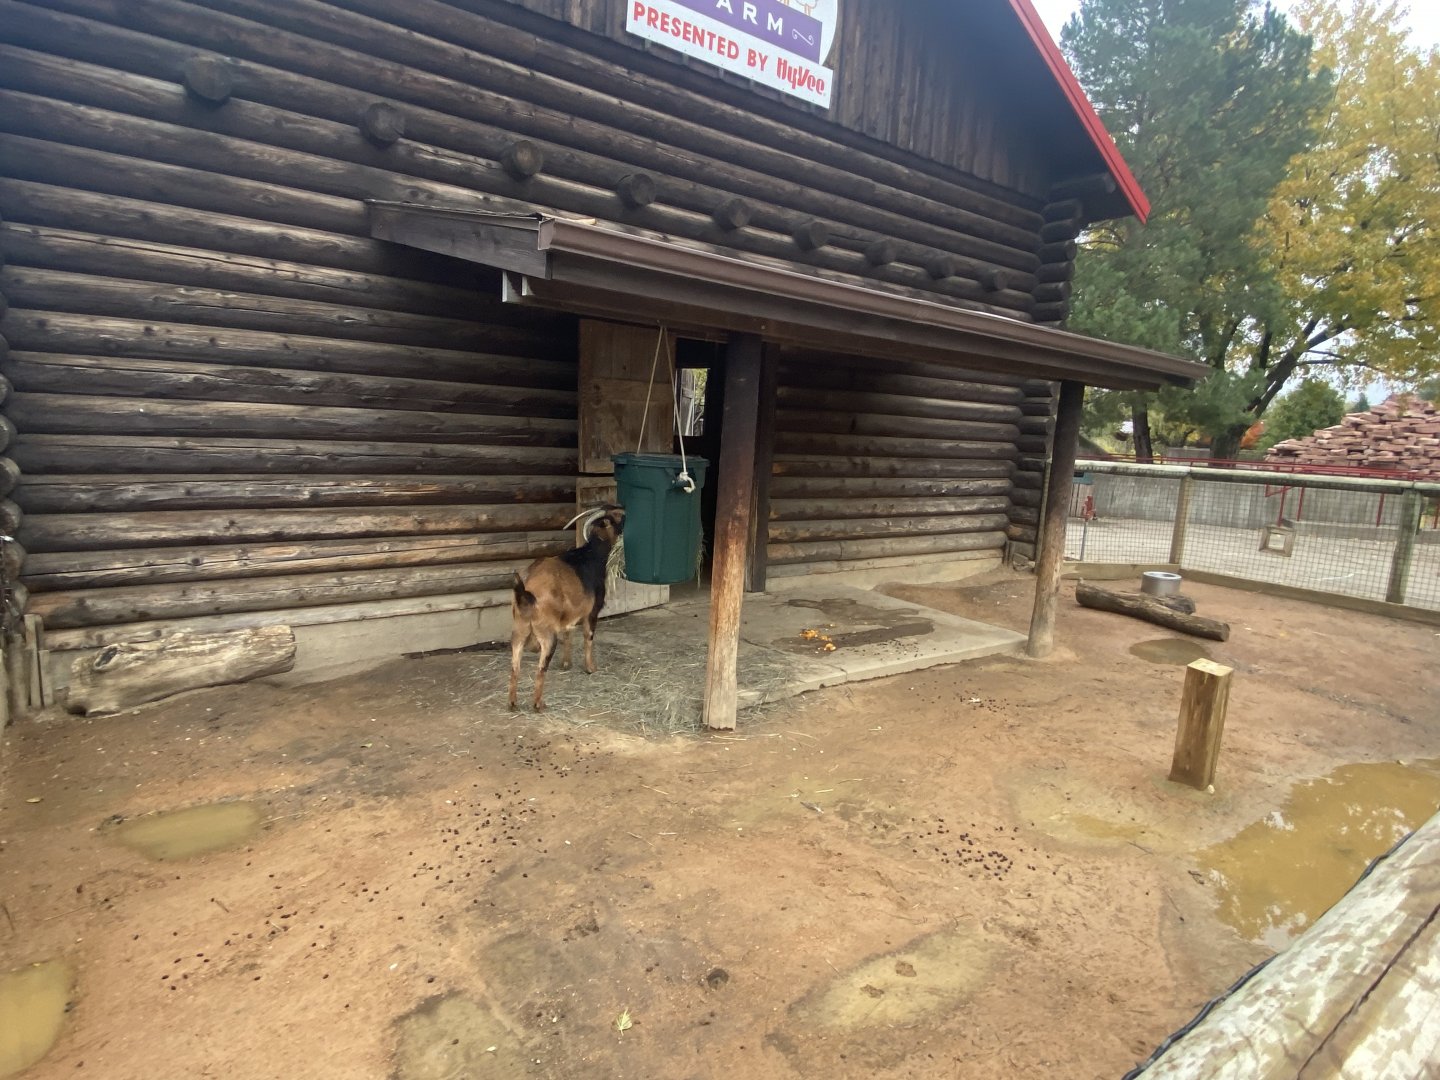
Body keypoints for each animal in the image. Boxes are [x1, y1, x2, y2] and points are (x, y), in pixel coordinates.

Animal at [508, 505, 625, 712]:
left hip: (519, 632)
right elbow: (588, 637)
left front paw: (566, 664)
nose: (625, 511)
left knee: (515, 667)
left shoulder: (568, 617)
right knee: (541, 668)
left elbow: (568, 634)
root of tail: (526, 595)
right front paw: (590, 668)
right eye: (615, 515)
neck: (591, 554)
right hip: (546, 636)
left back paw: (513, 703)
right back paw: (538, 704)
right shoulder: (592, 612)